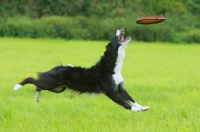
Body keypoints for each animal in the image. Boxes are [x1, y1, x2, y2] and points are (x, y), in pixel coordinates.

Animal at [13, 27, 149, 112]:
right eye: (114, 38)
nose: (120, 27)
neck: (112, 66)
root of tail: (57, 67)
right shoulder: (110, 91)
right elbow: (124, 103)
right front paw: (136, 110)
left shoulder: (120, 87)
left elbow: (131, 99)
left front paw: (143, 107)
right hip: (51, 83)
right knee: (32, 79)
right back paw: (17, 86)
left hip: (58, 88)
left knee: (38, 86)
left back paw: (36, 98)